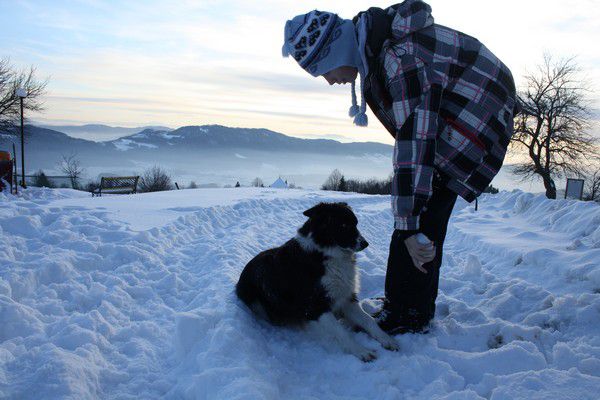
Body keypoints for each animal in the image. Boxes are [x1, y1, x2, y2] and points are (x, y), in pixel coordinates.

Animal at [236, 202, 398, 360]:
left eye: (356, 223)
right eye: (343, 225)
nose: (365, 244)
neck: (326, 253)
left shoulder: (346, 297)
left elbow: (368, 320)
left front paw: (387, 339)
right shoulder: (315, 306)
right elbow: (341, 331)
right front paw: (361, 350)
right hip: (256, 300)